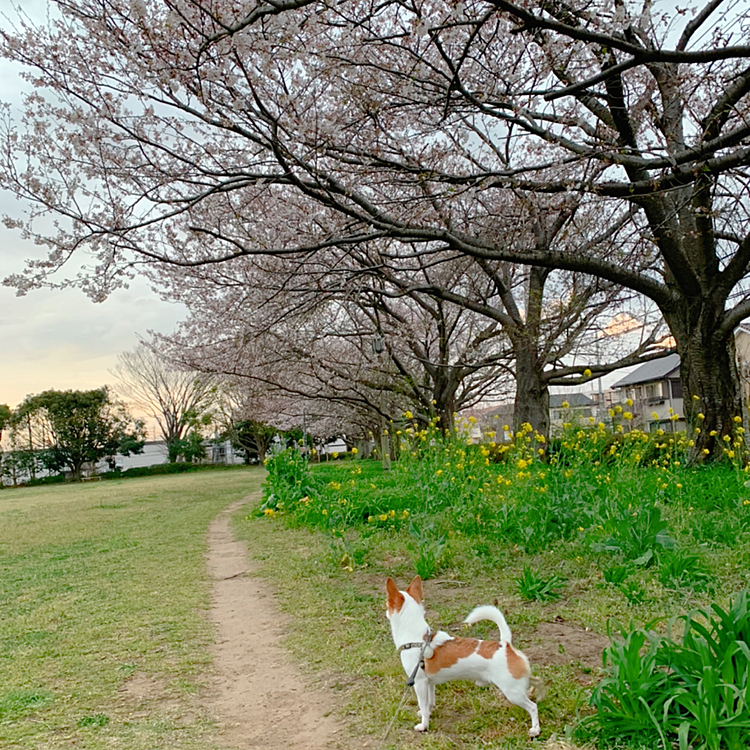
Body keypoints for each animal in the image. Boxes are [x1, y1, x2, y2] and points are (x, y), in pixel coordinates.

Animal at [388, 580, 540, 736]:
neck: (417, 638)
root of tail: (505, 644)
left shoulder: (419, 682)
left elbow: (423, 705)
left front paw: (424, 725)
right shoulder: (429, 682)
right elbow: (429, 703)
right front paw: (429, 714)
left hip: (512, 691)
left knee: (533, 707)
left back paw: (535, 729)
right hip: (516, 684)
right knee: (535, 681)